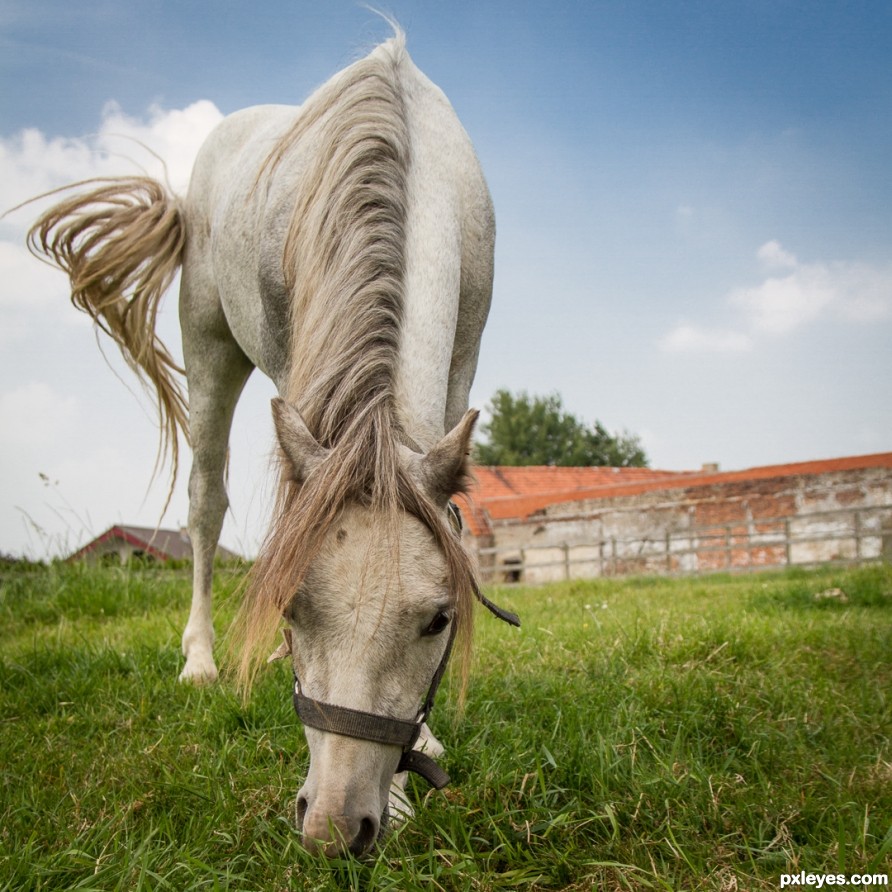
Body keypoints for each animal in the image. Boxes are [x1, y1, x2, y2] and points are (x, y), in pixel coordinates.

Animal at [27, 33, 516, 856]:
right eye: (291, 607)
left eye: (439, 620)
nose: (334, 828)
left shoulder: (462, 361)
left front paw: (422, 752)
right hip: (208, 348)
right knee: (205, 501)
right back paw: (198, 660)